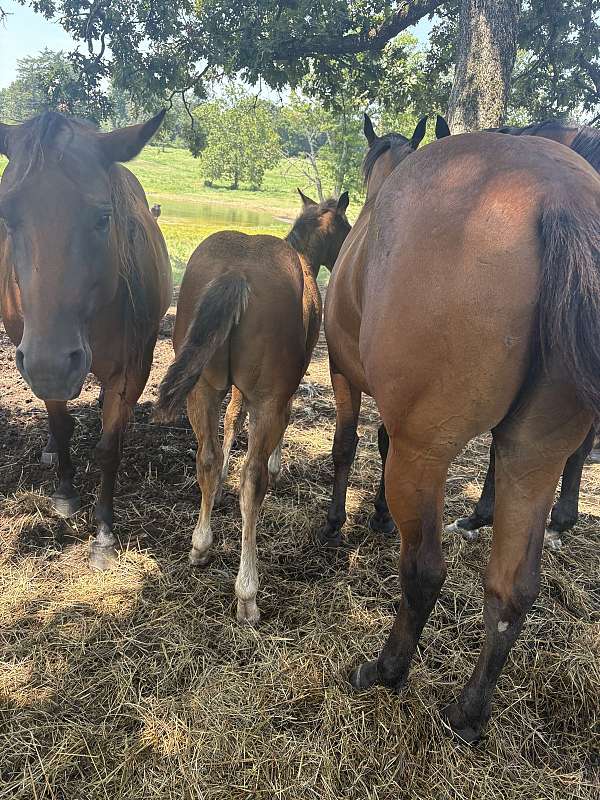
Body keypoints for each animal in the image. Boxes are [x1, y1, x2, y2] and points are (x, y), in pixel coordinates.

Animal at [0, 111, 172, 568]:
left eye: (102, 218)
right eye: (7, 217)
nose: (52, 365)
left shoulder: (130, 371)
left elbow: (109, 447)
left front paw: (104, 534)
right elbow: (61, 427)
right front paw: (65, 493)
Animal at [155, 190, 350, 623]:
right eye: (346, 226)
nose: (346, 251)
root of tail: (237, 272)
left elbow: (230, 423)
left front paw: (219, 485)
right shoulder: (277, 394)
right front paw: (276, 466)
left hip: (202, 389)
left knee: (206, 457)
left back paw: (200, 545)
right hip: (267, 399)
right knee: (253, 479)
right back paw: (247, 592)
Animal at [322, 117, 600, 741]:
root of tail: (557, 195)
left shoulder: (345, 377)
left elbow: (348, 447)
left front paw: (336, 521)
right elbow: (378, 444)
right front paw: (375, 516)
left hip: (426, 455)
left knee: (425, 572)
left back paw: (386, 669)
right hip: (533, 456)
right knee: (512, 589)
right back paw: (469, 713)